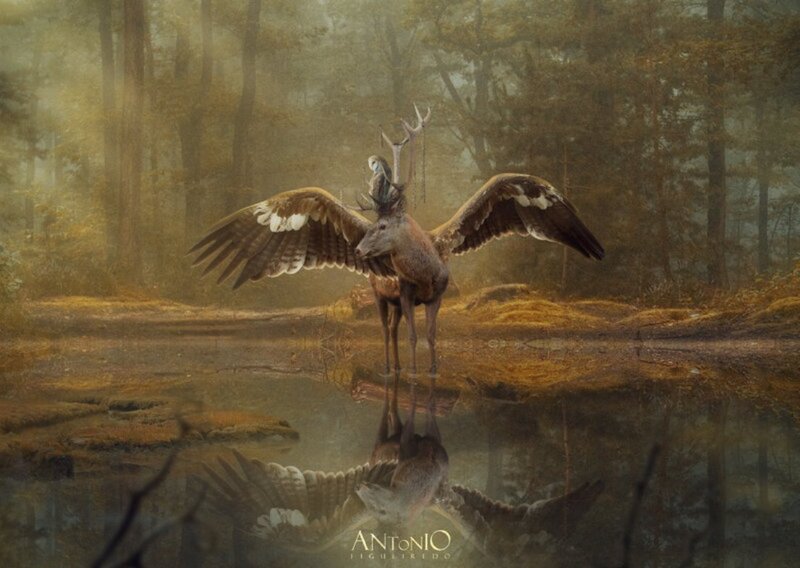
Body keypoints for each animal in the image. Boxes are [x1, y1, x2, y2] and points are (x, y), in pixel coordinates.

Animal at [190, 106, 605, 377]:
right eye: (371, 226)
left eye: (386, 226)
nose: (358, 250)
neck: (424, 270)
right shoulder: (404, 293)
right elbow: (411, 336)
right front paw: (414, 375)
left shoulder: (437, 294)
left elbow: (433, 336)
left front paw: (433, 371)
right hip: (379, 296)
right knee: (386, 331)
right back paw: (392, 370)